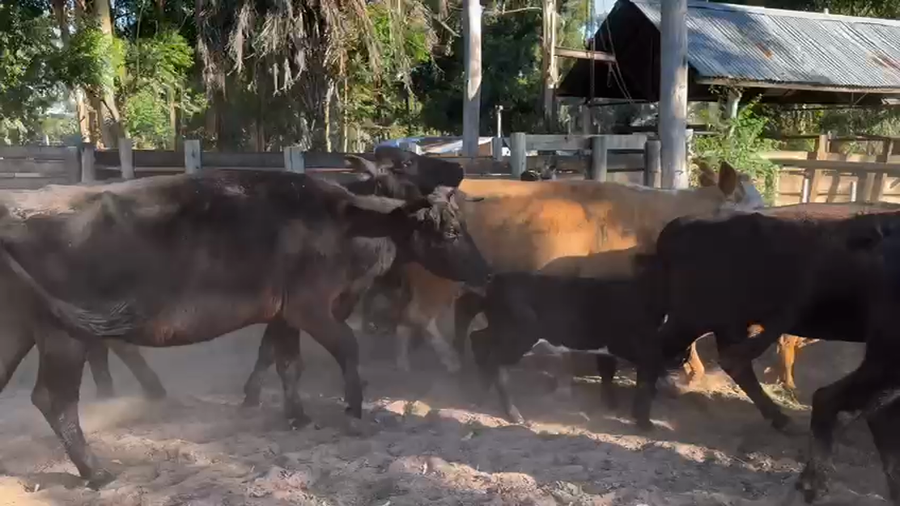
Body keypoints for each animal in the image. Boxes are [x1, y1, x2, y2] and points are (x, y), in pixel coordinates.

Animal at [0, 169, 490, 488]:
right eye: (448, 231)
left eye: (464, 226)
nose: (484, 272)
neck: (344, 222)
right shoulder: (311, 308)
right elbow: (346, 348)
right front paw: (353, 411)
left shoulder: (283, 312)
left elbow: (282, 360)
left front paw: (291, 414)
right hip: (64, 335)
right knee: (55, 399)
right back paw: (97, 471)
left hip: (22, 328)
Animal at [634, 206, 900, 432]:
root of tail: (680, 224)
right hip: (693, 319)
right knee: (655, 350)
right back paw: (642, 417)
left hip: (726, 323)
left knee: (735, 364)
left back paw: (780, 419)